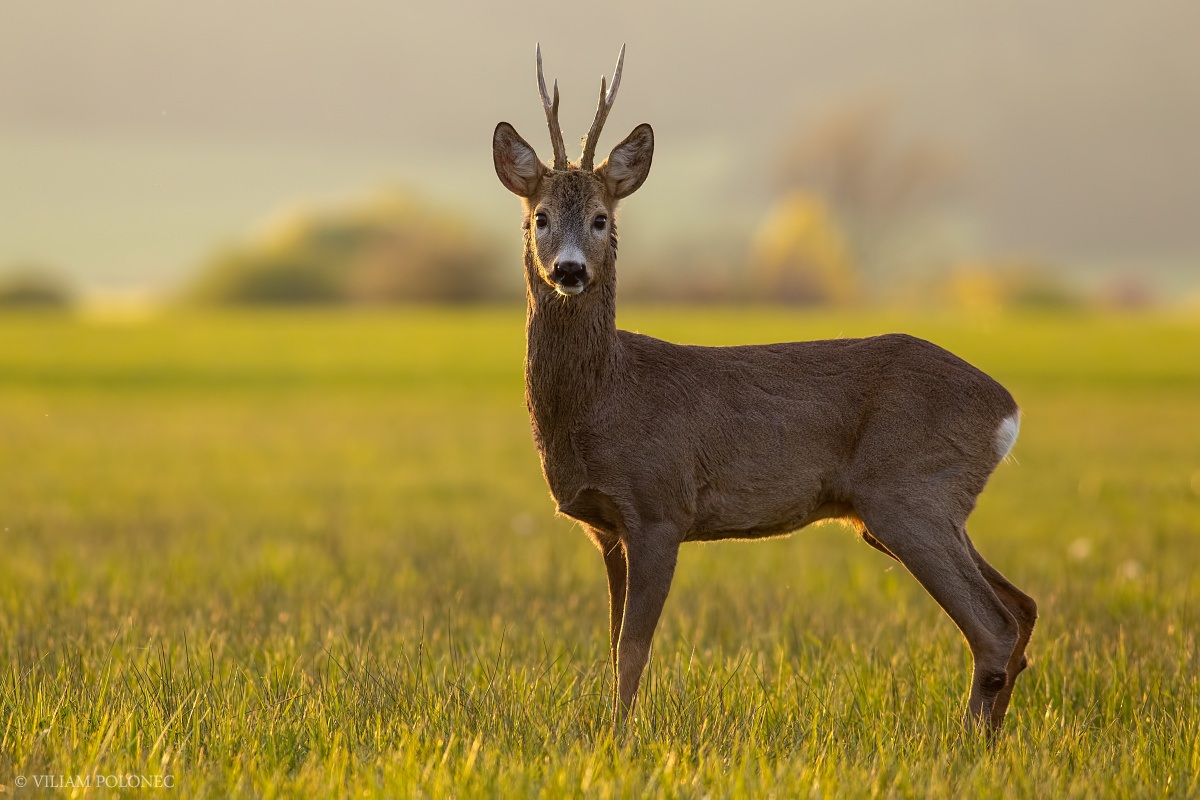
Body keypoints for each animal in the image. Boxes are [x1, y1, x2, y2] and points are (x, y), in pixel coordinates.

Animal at [487, 43, 1032, 734]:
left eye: (602, 219)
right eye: (539, 218)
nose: (569, 270)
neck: (608, 398)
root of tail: (1007, 410)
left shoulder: (662, 507)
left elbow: (633, 648)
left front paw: (620, 739)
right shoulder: (606, 528)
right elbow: (611, 644)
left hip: (909, 492)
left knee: (994, 626)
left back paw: (965, 744)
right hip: (926, 508)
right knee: (1024, 608)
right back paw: (990, 738)